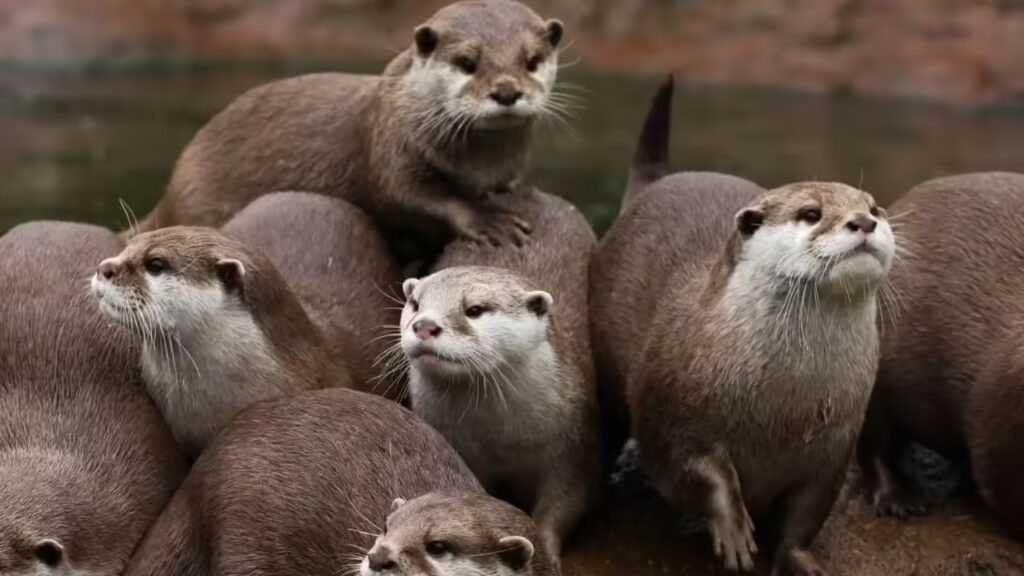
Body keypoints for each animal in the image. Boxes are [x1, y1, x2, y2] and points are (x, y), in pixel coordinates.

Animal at [135, 0, 567, 252]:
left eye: (531, 60)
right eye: (467, 62)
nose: (507, 91)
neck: (477, 166)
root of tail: (172, 193)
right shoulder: (389, 147)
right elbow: (408, 196)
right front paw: (486, 219)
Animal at [398, 190, 600, 569]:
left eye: (475, 309)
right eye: (415, 304)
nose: (425, 325)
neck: (502, 439)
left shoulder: (574, 442)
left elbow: (566, 502)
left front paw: (547, 553)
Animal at [591, 77, 896, 575]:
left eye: (876, 207)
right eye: (810, 213)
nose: (864, 221)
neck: (785, 410)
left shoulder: (831, 454)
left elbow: (804, 519)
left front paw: (801, 561)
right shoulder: (672, 417)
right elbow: (700, 471)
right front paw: (733, 530)